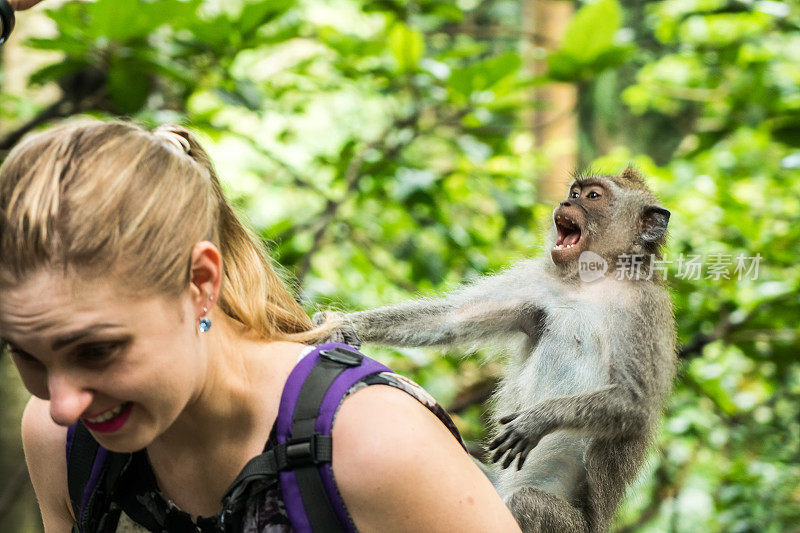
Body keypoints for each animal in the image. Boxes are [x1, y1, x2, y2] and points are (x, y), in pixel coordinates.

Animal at [316, 167, 680, 532]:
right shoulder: (540, 279)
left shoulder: (644, 308)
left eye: (593, 196)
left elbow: (634, 401)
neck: (591, 279)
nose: (566, 202)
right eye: (574, 193)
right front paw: (341, 325)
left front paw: (537, 419)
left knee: (527, 501)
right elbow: (453, 318)